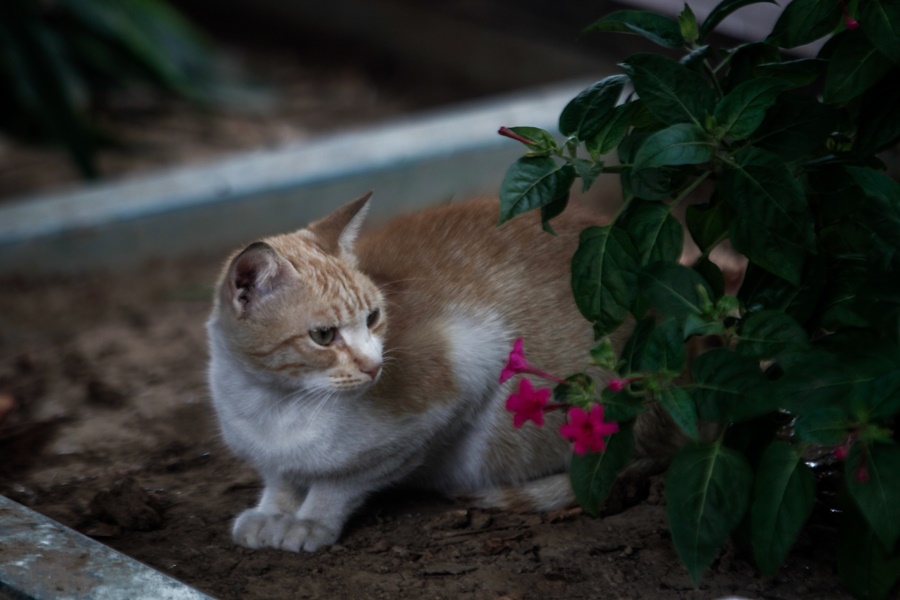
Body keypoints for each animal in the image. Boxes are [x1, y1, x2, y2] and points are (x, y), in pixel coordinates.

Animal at [206, 193, 668, 552]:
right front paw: (272, 512)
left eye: (373, 317)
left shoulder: (461, 377)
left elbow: (342, 481)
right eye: (323, 335)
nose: (374, 366)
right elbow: (280, 479)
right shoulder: (269, 456)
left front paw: (311, 520)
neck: (275, 404)